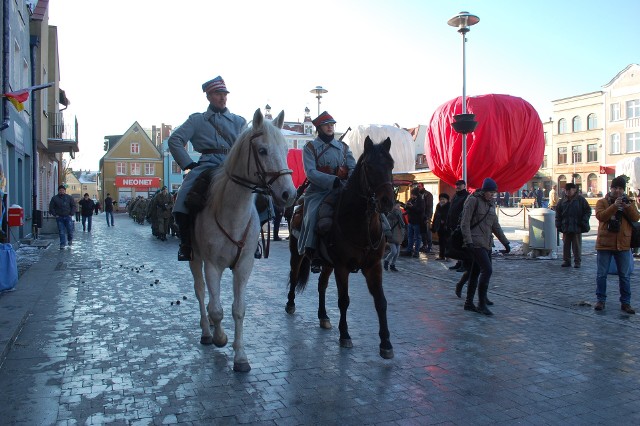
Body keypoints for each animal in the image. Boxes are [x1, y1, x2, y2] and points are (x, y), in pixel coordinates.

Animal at [189, 108, 296, 372]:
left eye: (286, 149)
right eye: (263, 150)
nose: (289, 194)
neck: (232, 215)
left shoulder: (244, 266)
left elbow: (238, 310)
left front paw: (240, 357)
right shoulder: (212, 266)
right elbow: (217, 309)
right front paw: (220, 338)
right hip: (194, 258)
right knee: (201, 293)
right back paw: (206, 332)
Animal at [286, 137, 396, 360]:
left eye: (391, 165)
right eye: (369, 166)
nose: (387, 201)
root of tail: (298, 204)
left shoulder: (373, 267)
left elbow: (381, 301)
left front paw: (386, 343)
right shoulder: (342, 267)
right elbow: (344, 300)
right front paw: (345, 335)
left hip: (327, 264)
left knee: (321, 285)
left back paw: (323, 316)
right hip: (297, 253)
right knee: (293, 276)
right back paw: (290, 304)